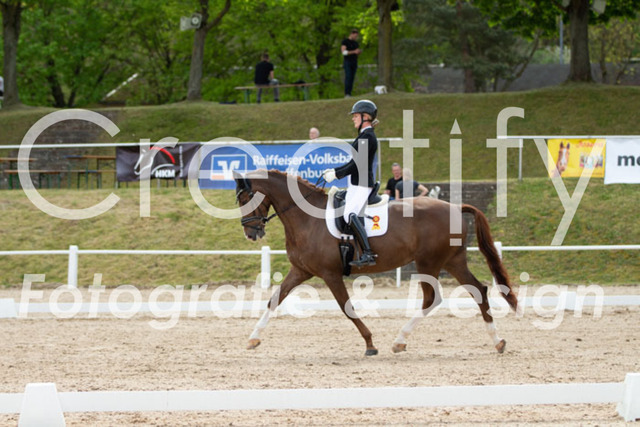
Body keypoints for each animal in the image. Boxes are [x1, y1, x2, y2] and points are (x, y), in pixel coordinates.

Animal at [234, 170, 518, 356]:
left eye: (246, 198)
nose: (250, 233)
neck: (306, 217)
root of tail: (455, 207)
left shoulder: (330, 274)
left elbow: (346, 308)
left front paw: (370, 344)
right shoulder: (301, 270)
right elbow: (275, 299)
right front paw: (252, 339)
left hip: (429, 263)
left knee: (432, 298)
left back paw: (400, 340)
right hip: (452, 261)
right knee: (478, 290)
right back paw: (498, 341)